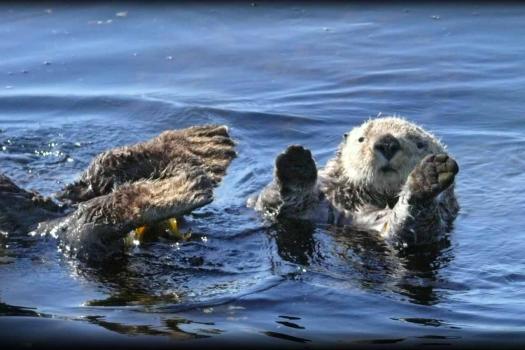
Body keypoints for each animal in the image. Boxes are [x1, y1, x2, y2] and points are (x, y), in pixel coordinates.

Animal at [0, 125, 234, 260]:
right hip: (81, 233)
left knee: (102, 170)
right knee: (104, 208)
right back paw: (191, 184)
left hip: (73, 199)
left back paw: (200, 144)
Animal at [248, 117, 456, 246]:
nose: (387, 143)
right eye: (361, 139)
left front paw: (427, 179)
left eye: (420, 144)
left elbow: (410, 231)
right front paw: (295, 162)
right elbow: (268, 200)